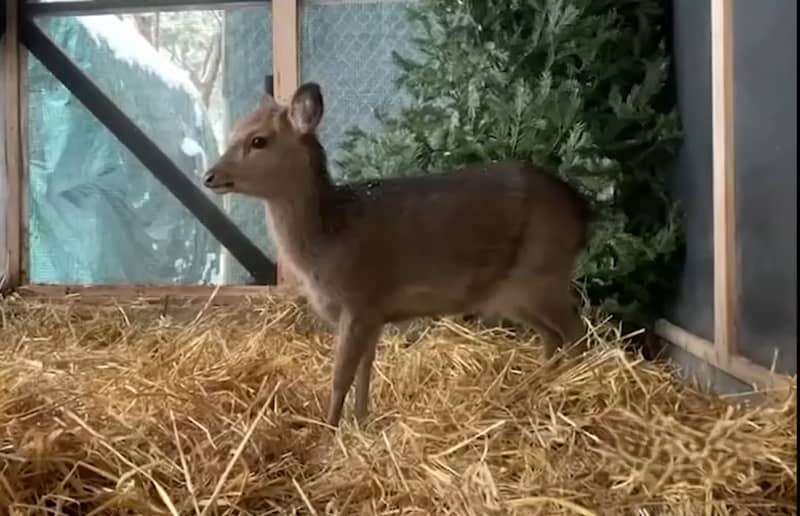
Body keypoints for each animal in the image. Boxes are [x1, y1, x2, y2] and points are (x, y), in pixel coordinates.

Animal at [203, 80, 592, 428]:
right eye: (236, 130)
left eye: (259, 140)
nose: (209, 176)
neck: (328, 240)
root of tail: (582, 210)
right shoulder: (374, 314)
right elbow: (365, 370)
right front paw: (360, 422)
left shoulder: (359, 301)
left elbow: (340, 376)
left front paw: (327, 432)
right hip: (516, 291)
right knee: (553, 337)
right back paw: (536, 388)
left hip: (542, 274)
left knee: (577, 333)